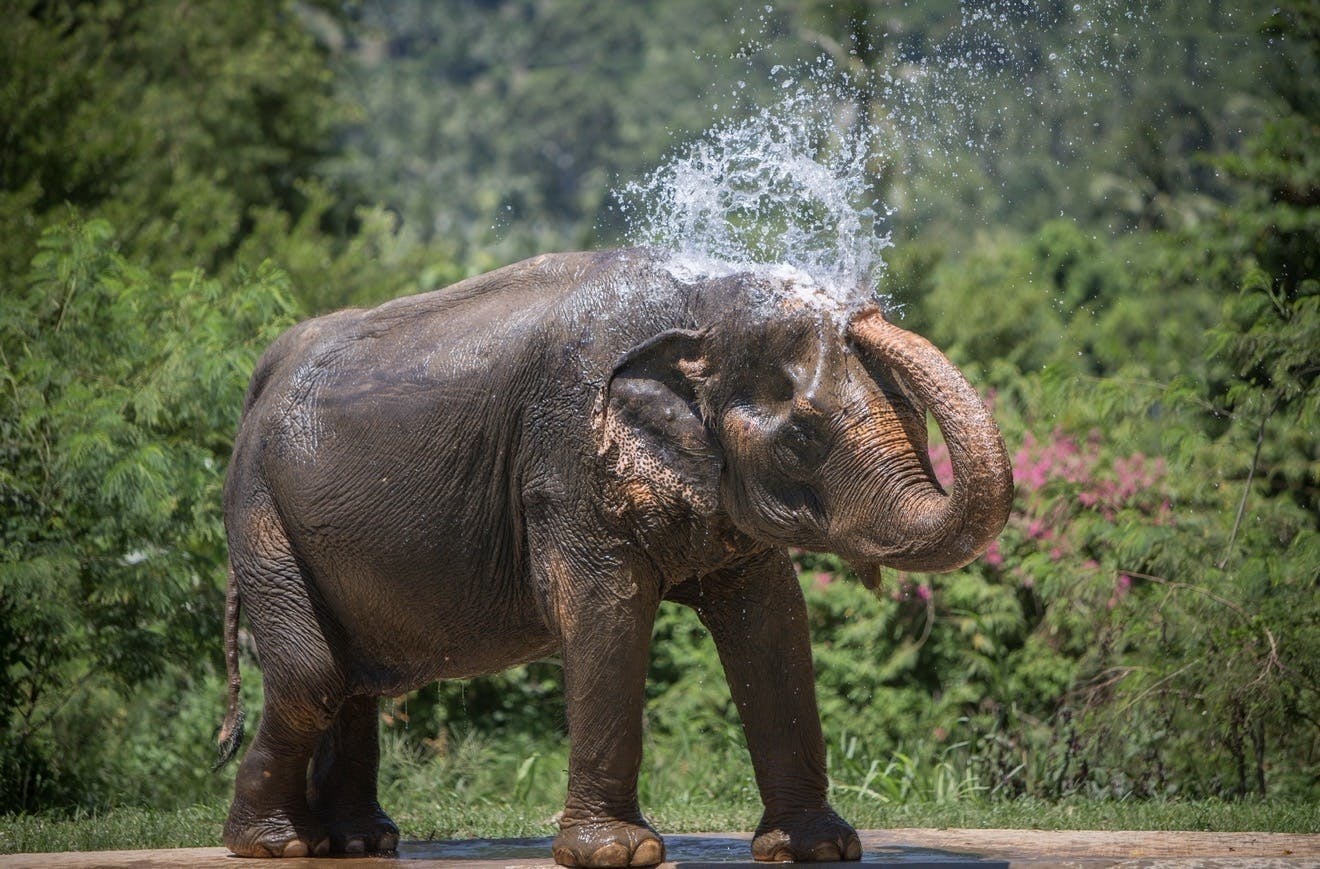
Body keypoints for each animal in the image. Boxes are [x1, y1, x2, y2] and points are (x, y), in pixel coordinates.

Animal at [214, 246, 1013, 865]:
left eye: (913, 417)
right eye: (801, 437)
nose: (862, 309)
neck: (702, 304)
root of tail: (264, 370)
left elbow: (773, 621)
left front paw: (820, 850)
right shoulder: (565, 458)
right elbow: (608, 612)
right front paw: (617, 854)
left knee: (352, 680)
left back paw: (359, 843)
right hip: (260, 513)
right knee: (313, 677)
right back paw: (277, 845)